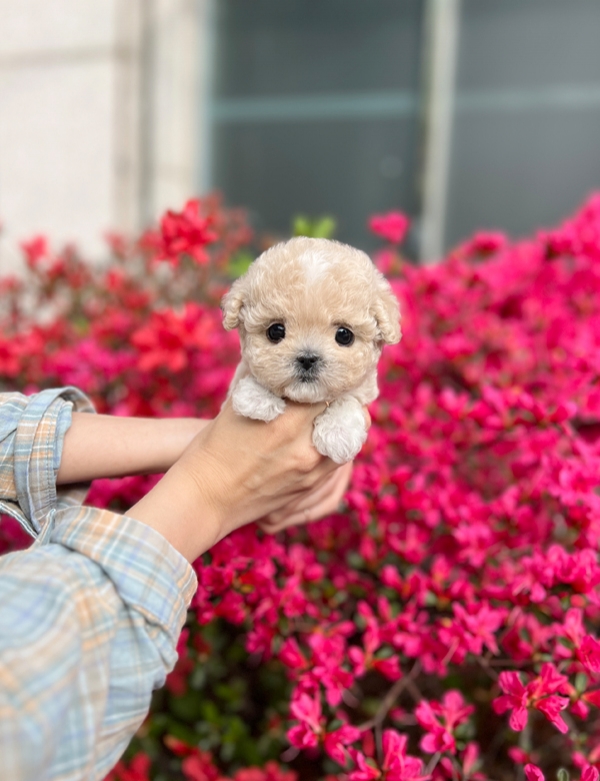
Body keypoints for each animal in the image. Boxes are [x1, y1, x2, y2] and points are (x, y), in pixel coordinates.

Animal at [223, 235, 400, 460]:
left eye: (344, 335)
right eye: (275, 331)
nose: (307, 358)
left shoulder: (363, 389)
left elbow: (347, 398)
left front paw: (338, 433)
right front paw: (256, 397)